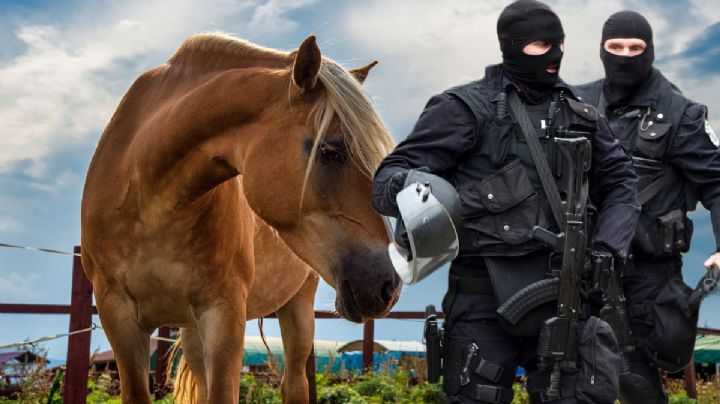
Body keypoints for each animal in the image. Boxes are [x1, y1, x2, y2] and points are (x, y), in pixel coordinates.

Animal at [80, 33, 401, 403]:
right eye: (330, 151)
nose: (388, 286)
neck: (149, 198)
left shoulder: (224, 312)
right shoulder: (117, 316)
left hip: (297, 308)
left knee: (294, 384)